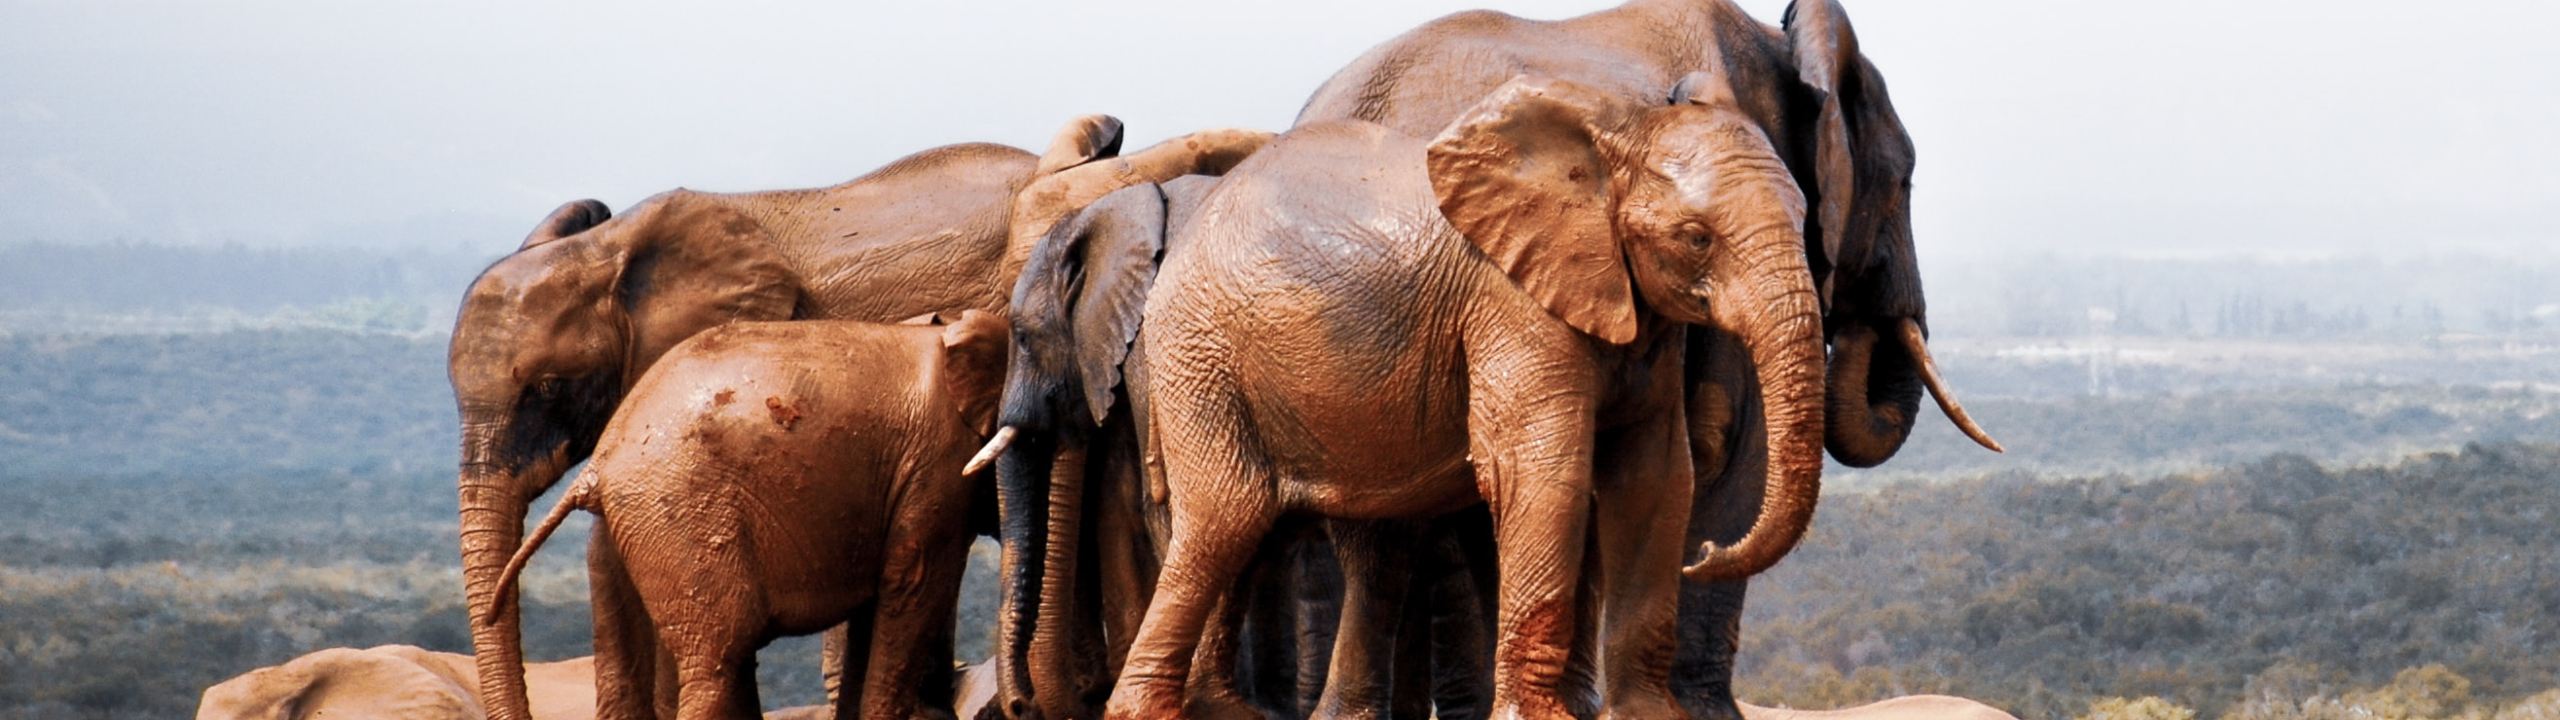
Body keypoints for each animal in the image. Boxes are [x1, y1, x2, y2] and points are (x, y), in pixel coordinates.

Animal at [1115, 69, 1827, 720]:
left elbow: (1655, 476)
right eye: (1697, 238)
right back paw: (1143, 711)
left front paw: (1648, 716)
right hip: (1200, 355)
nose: (1705, 556)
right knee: (1226, 517)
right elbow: (1541, 470)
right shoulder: (1511, 300)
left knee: (1301, 540)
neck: (1616, 134)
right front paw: (1539, 719)